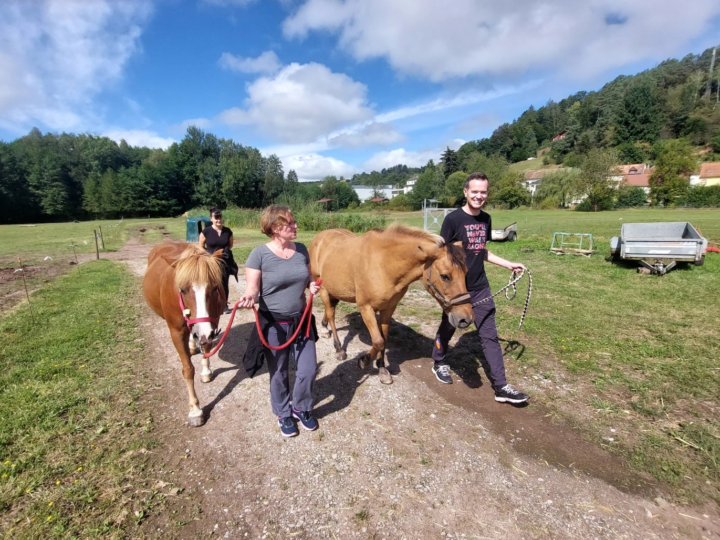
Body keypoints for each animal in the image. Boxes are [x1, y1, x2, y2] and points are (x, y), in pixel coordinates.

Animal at [143, 244, 226, 426]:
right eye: (182, 289)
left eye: (215, 287)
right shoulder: (177, 332)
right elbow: (188, 370)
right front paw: (195, 410)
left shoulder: (211, 324)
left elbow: (206, 348)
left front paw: (206, 372)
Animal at [308, 224, 472, 384]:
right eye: (445, 276)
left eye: (466, 273)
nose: (466, 319)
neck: (384, 264)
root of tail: (319, 237)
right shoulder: (366, 308)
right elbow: (378, 341)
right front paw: (364, 361)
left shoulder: (388, 308)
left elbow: (384, 338)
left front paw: (382, 369)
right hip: (322, 288)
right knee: (331, 314)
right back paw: (339, 349)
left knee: (330, 309)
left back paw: (324, 328)